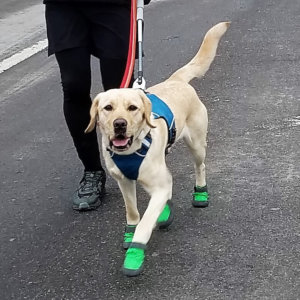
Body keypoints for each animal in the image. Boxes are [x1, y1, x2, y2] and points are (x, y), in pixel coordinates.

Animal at [85, 21, 229, 276]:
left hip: (196, 145)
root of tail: (176, 80)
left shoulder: (158, 184)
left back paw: (200, 193)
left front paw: (135, 253)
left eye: (132, 108)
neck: (131, 151)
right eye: (108, 108)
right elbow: (133, 213)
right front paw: (130, 233)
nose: (119, 124)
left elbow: (145, 223)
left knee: (200, 166)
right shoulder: (124, 181)